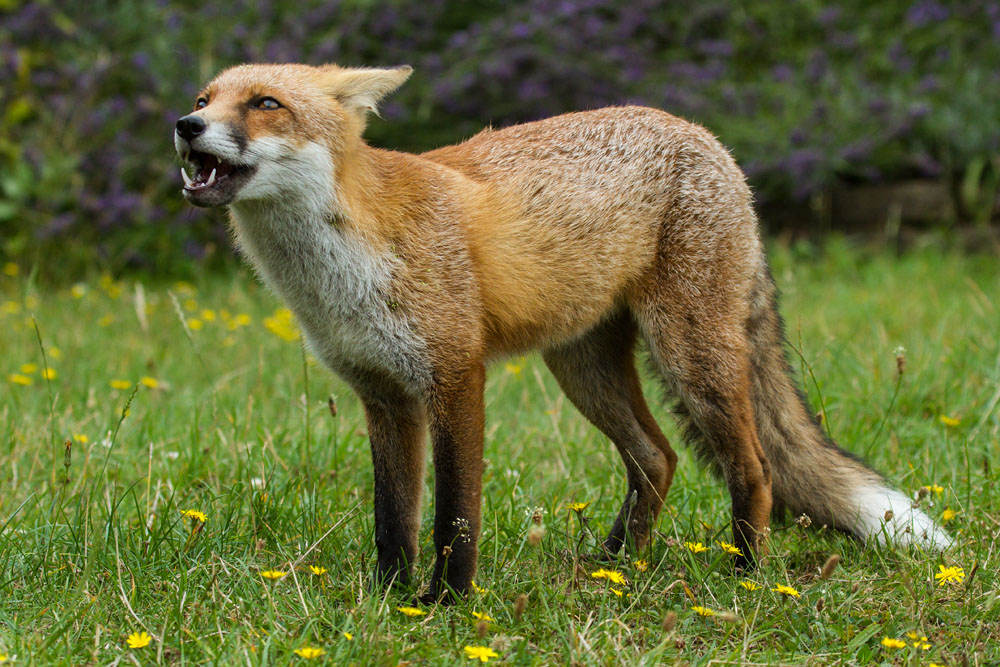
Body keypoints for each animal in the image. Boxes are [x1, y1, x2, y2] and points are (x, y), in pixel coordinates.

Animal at [174, 63, 951, 601]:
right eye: (207, 97)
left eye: (265, 103)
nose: (185, 124)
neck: (341, 269)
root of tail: (701, 134)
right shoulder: (383, 395)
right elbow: (393, 519)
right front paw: (387, 600)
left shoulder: (456, 376)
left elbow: (454, 515)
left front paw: (446, 603)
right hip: (583, 367)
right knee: (657, 458)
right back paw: (613, 568)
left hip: (691, 352)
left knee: (752, 466)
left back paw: (747, 574)